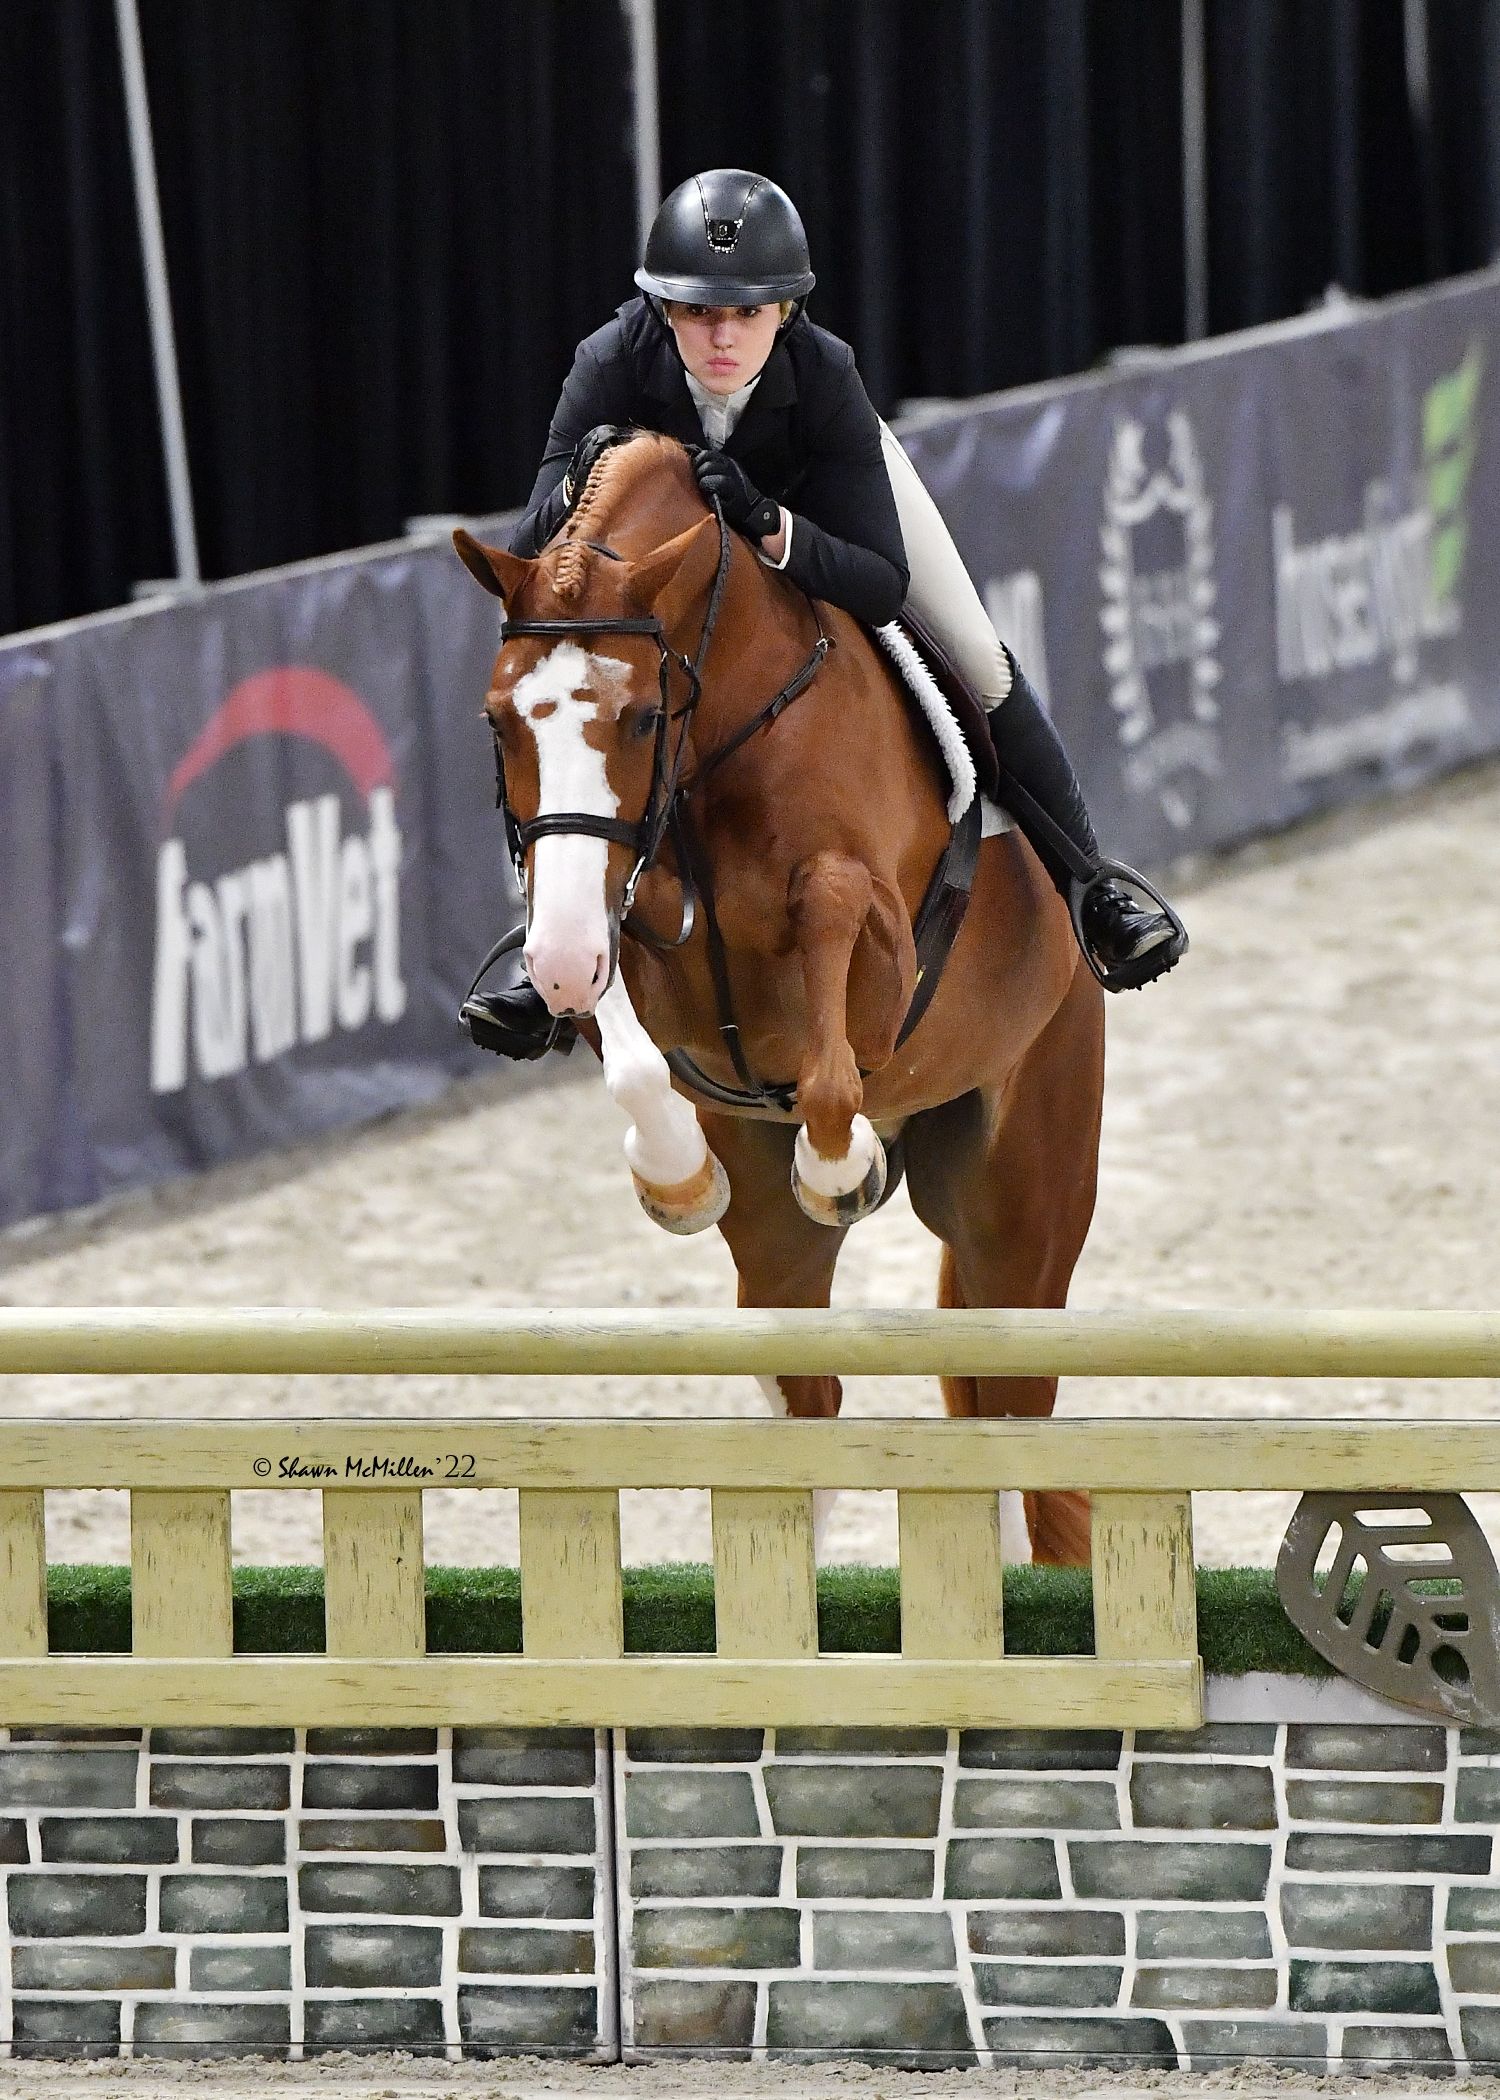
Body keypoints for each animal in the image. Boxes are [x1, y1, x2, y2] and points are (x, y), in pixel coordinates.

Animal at [453, 434, 1100, 1562]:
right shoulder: (612, 905)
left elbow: (834, 932)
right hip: (780, 1245)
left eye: (642, 716)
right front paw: (674, 1177)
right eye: (498, 722)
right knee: (817, 1402)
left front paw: (839, 1161)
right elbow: (628, 1031)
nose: (559, 961)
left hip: (1025, 1200)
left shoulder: (882, 946)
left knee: (1022, 1422)